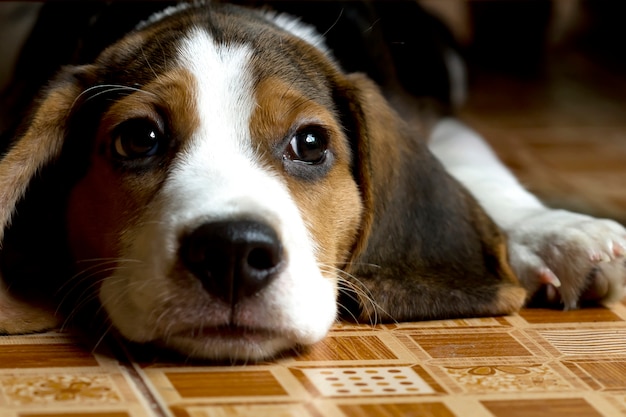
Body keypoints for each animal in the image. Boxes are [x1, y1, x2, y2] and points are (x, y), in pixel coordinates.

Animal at [0, 0, 620, 360]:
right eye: (138, 139)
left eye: (311, 144)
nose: (230, 252)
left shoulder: (435, 116)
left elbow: (476, 162)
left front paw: (557, 234)